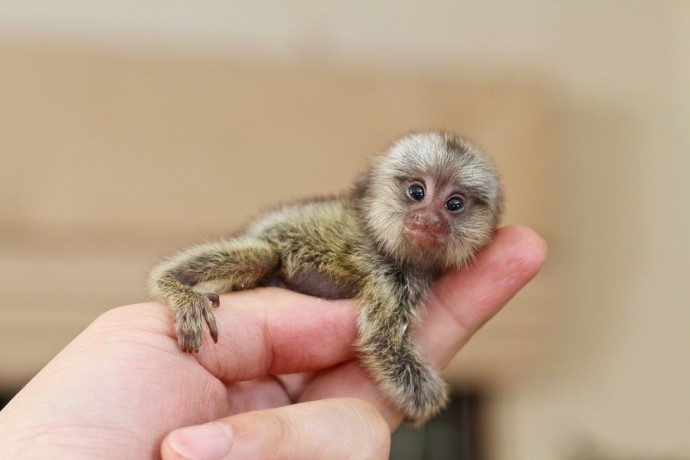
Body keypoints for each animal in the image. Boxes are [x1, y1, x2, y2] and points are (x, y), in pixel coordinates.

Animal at [148, 131, 503, 425]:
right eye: (417, 192)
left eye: (454, 204)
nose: (428, 220)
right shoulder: (384, 274)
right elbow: (383, 341)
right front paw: (427, 405)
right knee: (265, 254)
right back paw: (174, 287)